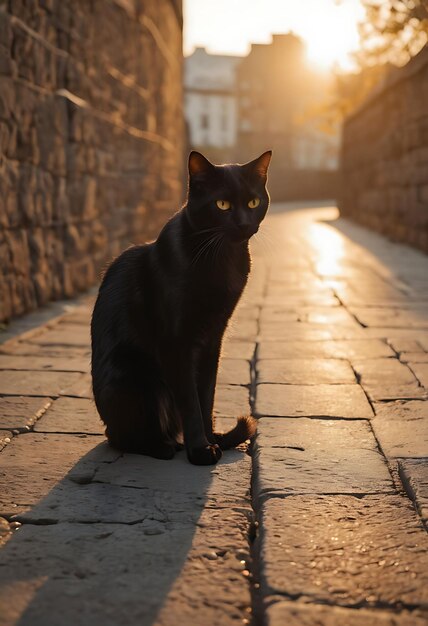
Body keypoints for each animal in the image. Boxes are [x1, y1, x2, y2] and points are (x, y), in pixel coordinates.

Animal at [91, 150, 270, 464]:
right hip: (138, 376)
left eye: (253, 202)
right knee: (118, 437)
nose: (243, 224)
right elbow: (190, 400)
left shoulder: (214, 338)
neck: (222, 258)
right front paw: (200, 450)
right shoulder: (176, 342)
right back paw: (161, 446)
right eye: (222, 204)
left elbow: (206, 396)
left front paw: (211, 440)